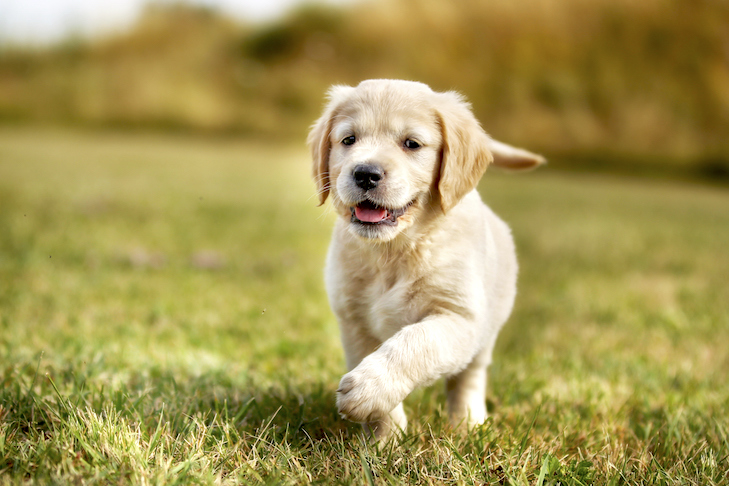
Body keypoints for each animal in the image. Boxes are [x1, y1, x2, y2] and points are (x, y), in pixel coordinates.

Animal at [308, 79, 540, 440]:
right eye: (348, 140)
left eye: (411, 144)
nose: (365, 173)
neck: (395, 250)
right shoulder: (355, 322)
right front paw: (386, 439)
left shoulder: (460, 317)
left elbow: (416, 342)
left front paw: (368, 390)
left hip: (487, 331)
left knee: (469, 378)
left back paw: (468, 423)